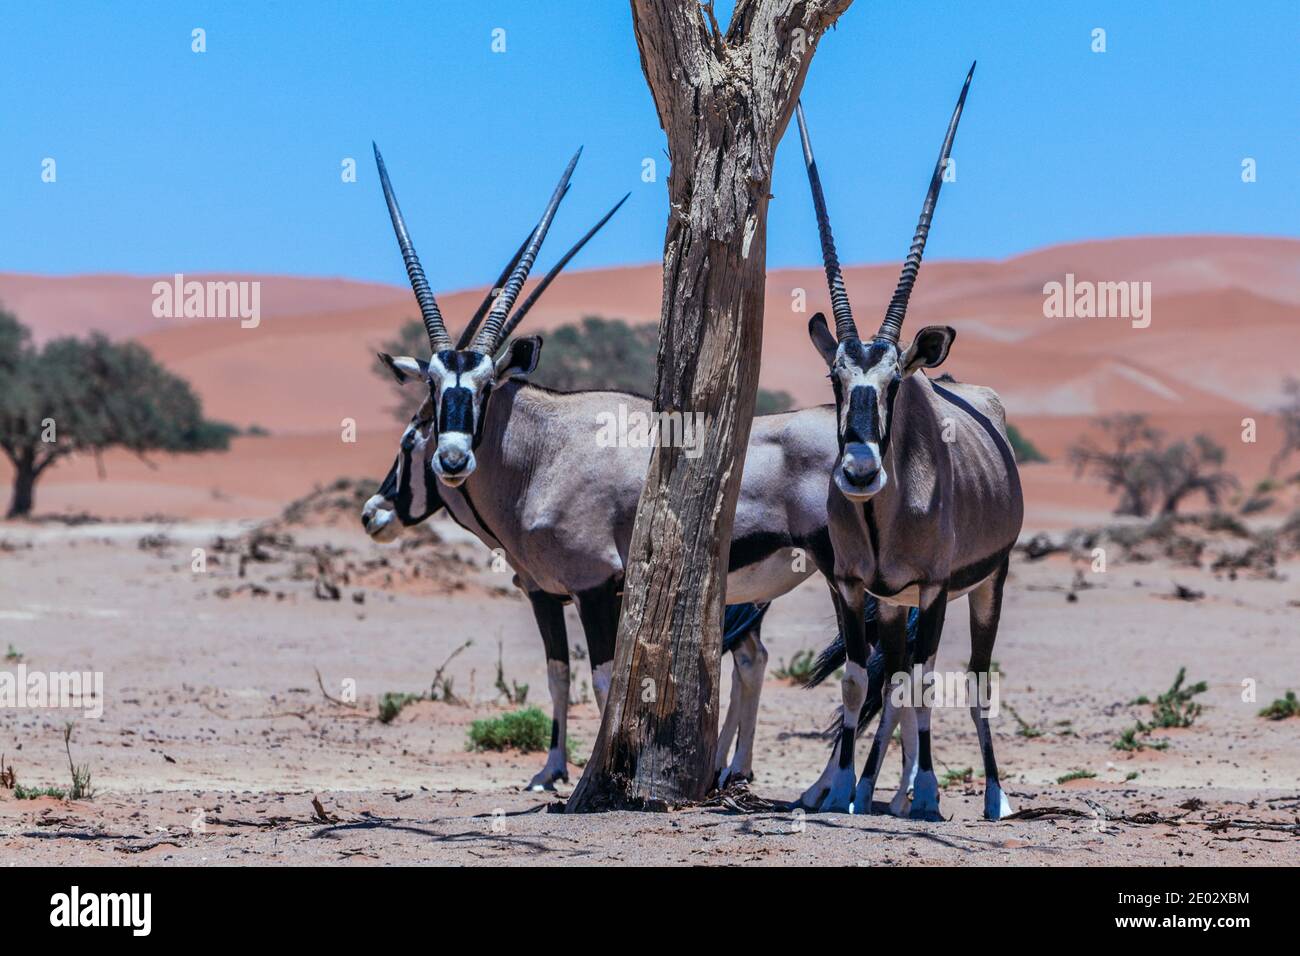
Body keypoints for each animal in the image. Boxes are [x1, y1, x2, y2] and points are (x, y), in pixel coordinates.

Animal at [356, 141, 904, 790]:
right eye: (435, 389)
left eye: (411, 437)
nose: (374, 512)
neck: (543, 453)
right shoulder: (556, 592)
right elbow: (562, 674)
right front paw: (555, 771)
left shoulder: (592, 587)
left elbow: (599, 681)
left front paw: (586, 776)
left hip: (840, 575)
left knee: (864, 667)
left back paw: (829, 787)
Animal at [790, 63, 1024, 816]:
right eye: (835, 376)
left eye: (895, 380)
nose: (861, 472)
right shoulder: (857, 586)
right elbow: (862, 680)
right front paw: (839, 790)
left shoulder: (936, 586)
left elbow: (925, 681)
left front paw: (926, 795)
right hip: (899, 602)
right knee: (891, 682)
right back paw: (874, 790)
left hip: (985, 582)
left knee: (971, 677)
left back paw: (990, 796)